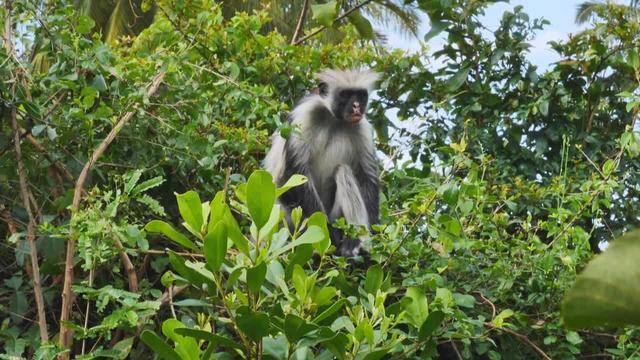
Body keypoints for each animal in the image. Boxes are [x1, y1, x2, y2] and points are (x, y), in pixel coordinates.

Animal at [264, 69, 380, 256]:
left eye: (361, 95)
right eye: (346, 95)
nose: (356, 106)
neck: (334, 119)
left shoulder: (361, 126)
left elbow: (367, 177)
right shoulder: (306, 114)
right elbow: (293, 172)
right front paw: (327, 236)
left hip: (336, 217)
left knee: (343, 171)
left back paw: (355, 243)